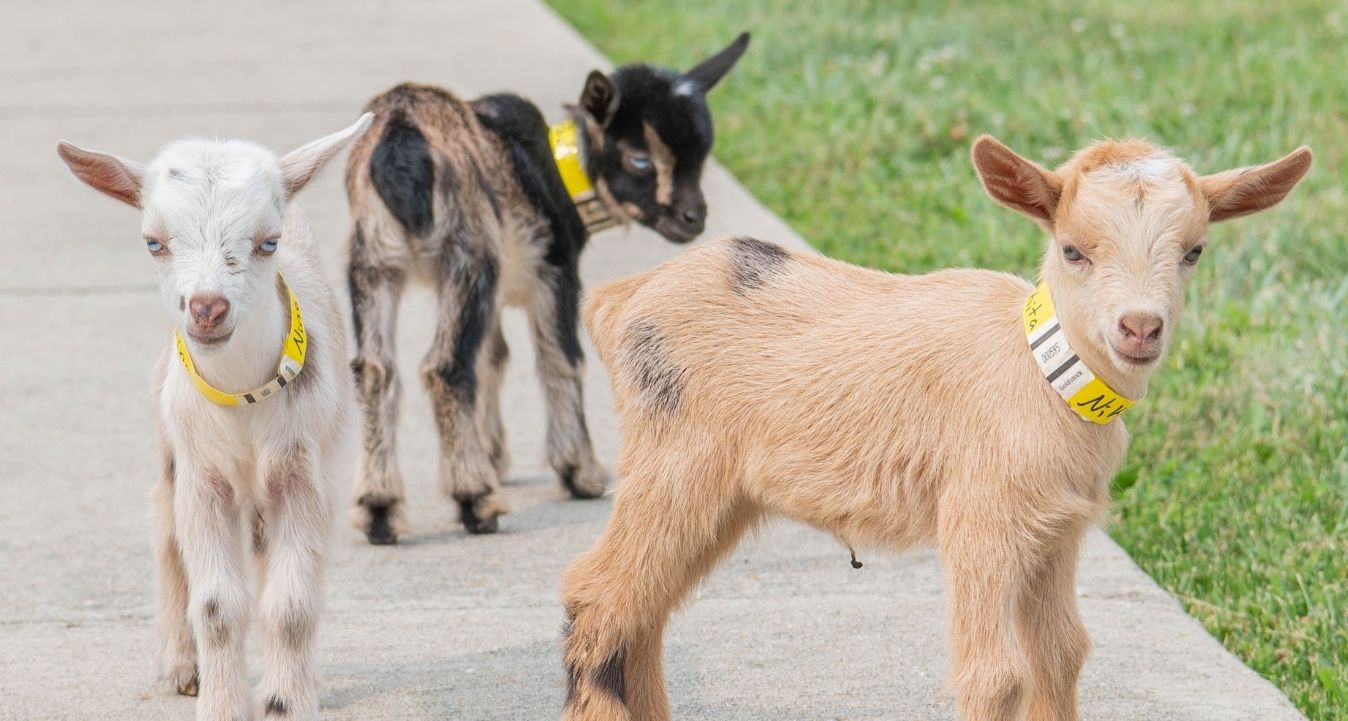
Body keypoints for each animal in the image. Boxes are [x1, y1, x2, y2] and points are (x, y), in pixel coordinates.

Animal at [57, 114, 372, 721]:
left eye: (267, 241)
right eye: (153, 243)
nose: (207, 309)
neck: (242, 405)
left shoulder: (303, 474)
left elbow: (291, 605)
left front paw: (287, 700)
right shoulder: (202, 477)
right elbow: (217, 608)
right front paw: (223, 703)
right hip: (168, 449)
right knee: (165, 530)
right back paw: (183, 667)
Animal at [345, 33, 749, 541]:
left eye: (701, 157)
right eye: (640, 159)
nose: (693, 218)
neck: (557, 171)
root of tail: (402, 139)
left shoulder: (495, 289)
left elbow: (494, 359)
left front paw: (495, 455)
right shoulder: (555, 270)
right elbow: (562, 357)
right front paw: (581, 474)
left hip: (374, 260)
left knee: (376, 369)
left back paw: (379, 508)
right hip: (467, 253)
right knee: (446, 367)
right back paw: (475, 499)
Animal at [563, 136, 1310, 721]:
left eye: (1194, 252)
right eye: (1072, 250)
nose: (1140, 328)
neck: (1041, 371)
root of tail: (619, 299)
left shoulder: (1056, 531)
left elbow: (1063, 650)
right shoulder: (979, 518)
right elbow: (996, 674)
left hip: (723, 493)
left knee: (645, 610)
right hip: (674, 461)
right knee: (599, 595)